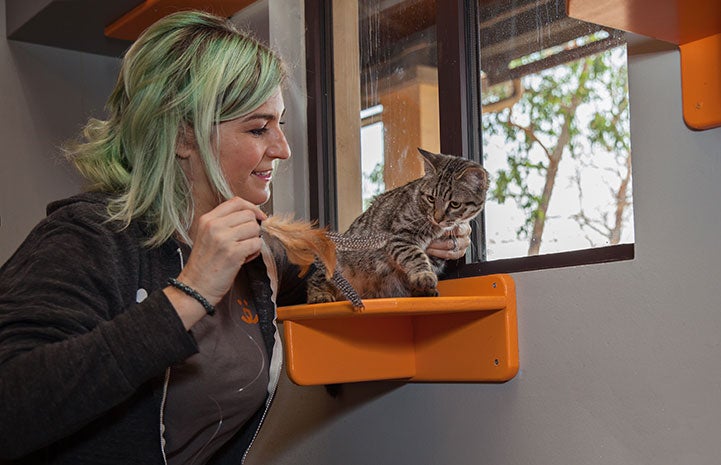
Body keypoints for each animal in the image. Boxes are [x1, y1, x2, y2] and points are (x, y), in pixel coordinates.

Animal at [306, 147, 486, 302]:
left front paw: (421, 289)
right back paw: (319, 295)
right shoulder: (399, 237)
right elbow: (415, 255)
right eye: (431, 198)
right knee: (314, 280)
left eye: (454, 204)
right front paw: (423, 275)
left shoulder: (435, 255)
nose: (438, 217)